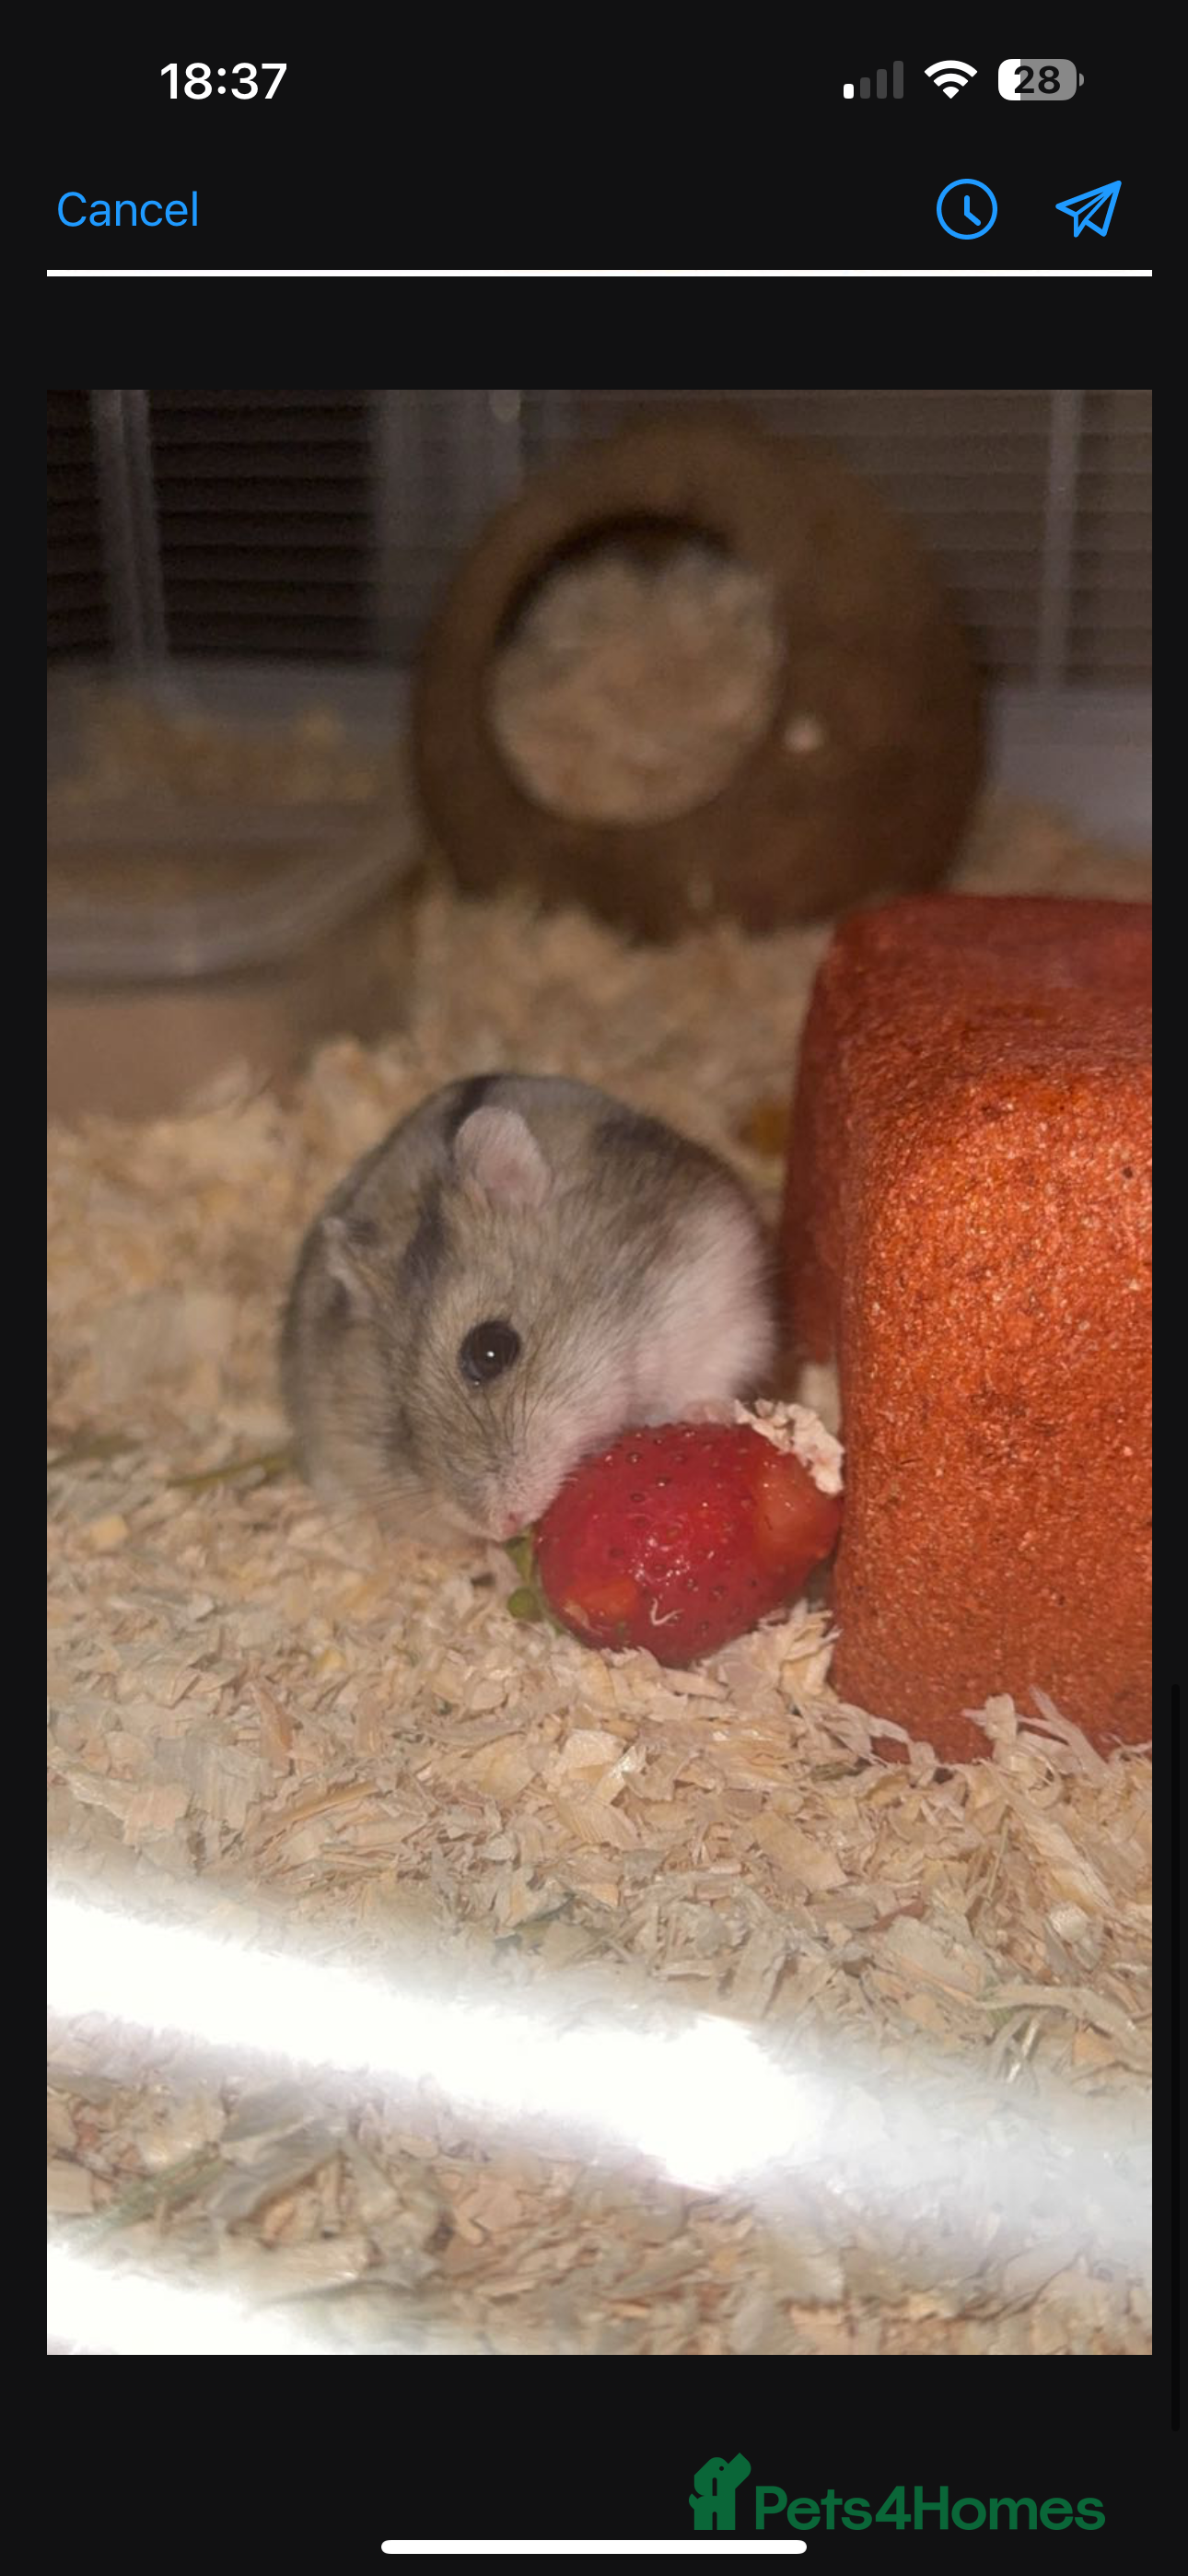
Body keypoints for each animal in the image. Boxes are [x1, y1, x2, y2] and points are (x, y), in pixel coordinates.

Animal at [280, 1072, 775, 1544]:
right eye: (398, 1420)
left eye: (491, 1350)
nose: (501, 1525)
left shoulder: (720, 1293)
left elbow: (708, 1379)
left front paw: (706, 1414)